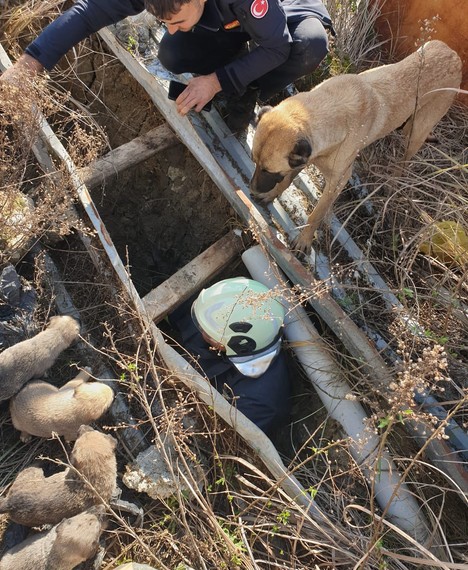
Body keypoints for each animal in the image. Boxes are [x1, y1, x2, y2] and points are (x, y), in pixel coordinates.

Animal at [250, 40, 462, 251]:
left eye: (268, 171)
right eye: (255, 162)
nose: (252, 189)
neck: (330, 111)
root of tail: (453, 55)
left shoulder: (338, 182)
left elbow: (317, 214)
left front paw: (305, 239)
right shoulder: (303, 158)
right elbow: (286, 180)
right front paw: (272, 194)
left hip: (416, 133)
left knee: (403, 162)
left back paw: (392, 184)